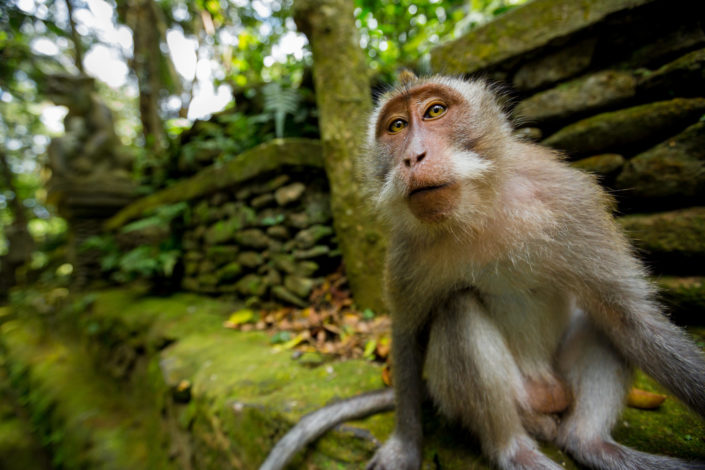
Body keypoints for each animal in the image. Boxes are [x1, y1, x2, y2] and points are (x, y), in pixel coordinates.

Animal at [258, 74, 704, 470]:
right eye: (397, 126)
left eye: (435, 111)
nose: (413, 156)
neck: (477, 212)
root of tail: (548, 399)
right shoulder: (406, 250)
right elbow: (408, 332)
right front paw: (405, 447)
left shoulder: (570, 201)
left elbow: (630, 319)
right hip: (515, 400)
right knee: (458, 309)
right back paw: (515, 452)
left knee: (601, 317)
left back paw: (591, 443)